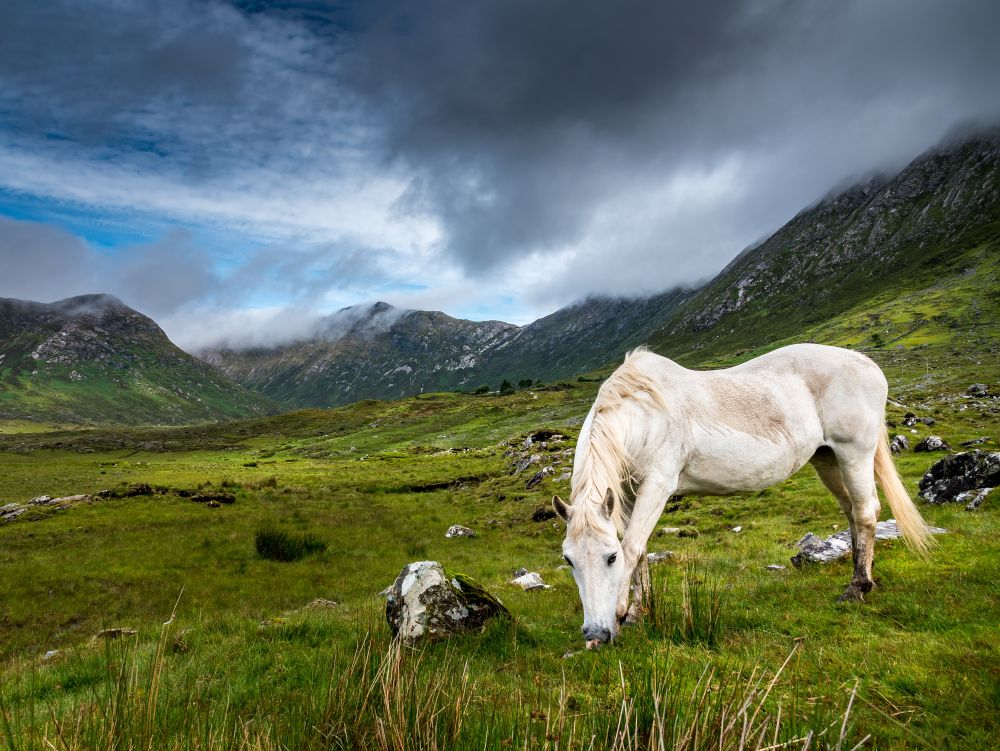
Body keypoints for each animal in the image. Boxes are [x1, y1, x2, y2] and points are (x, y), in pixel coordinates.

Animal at [552, 344, 932, 648]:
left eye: (610, 557)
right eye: (569, 560)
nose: (594, 634)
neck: (644, 413)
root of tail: (868, 364)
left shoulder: (657, 486)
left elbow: (632, 547)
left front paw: (621, 614)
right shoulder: (629, 494)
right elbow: (641, 550)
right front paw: (637, 613)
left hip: (855, 453)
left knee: (866, 511)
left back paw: (856, 589)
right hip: (827, 459)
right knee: (852, 511)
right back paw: (864, 577)